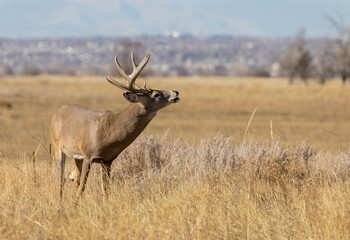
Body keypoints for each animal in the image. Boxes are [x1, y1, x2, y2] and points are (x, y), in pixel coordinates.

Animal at [50, 52, 180, 201]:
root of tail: (56, 113)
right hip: (58, 146)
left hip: (77, 156)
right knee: (61, 178)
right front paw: (75, 205)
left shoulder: (107, 160)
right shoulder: (88, 155)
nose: (176, 92)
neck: (109, 131)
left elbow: (105, 190)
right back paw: (60, 201)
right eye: (156, 94)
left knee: (73, 176)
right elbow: (83, 186)